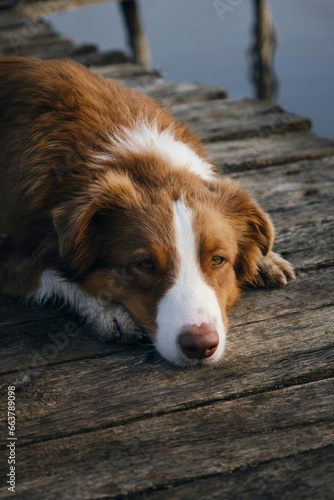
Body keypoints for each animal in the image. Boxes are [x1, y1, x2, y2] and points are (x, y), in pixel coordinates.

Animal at [0, 57, 294, 368]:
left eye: (218, 259)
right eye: (144, 264)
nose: (201, 346)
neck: (141, 160)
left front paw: (263, 259)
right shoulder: (10, 252)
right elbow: (52, 273)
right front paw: (105, 309)